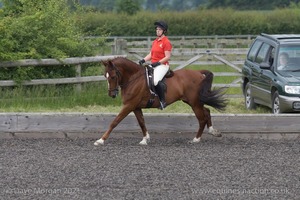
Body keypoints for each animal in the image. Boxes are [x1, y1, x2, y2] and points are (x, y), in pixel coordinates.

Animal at [94, 56, 227, 145]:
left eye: (113, 76)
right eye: (105, 76)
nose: (112, 94)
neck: (133, 79)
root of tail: (199, 73)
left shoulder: (129, 105)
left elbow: (115, 122)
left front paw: (101, 140)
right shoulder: (136, 107)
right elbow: (142, 122)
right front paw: (145, 139)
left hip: (195, 103)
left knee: (202, 118)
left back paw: (196, 139)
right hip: (193, 102)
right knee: (207, 111)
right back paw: (213, 131)